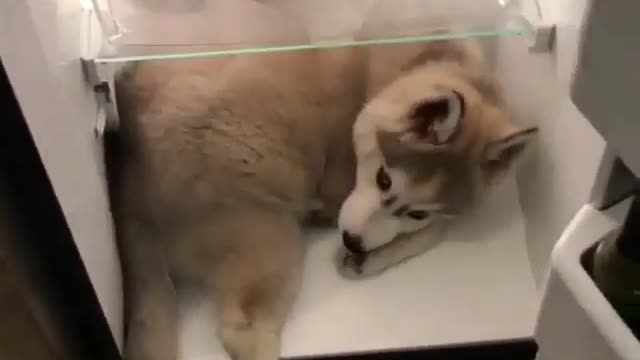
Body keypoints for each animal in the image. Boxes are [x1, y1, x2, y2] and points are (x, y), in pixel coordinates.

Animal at [107, 36, 536, 360]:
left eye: (417, 213)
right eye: (382, 179)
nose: (353, 243)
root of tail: (131, 186)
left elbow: (434, 231)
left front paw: (373, 256)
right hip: (273, 244)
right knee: (239, 331)